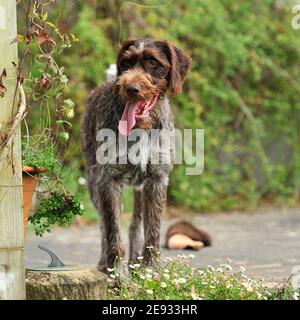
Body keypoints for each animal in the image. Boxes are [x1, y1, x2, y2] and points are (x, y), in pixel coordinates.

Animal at [81, 37, 191, 272]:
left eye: (153, 63)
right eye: (126, 63)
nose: (130, 88)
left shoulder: (157, 180)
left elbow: (153, 231)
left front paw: (150, 270)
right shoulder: (108, 180)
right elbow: (112, 231)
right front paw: (117, 273)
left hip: (140, 189)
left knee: (136, 224)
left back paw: (135, 260)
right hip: (94, 183)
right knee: (103, 225)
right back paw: (105, 263)